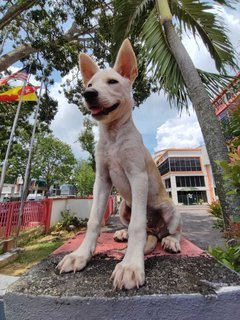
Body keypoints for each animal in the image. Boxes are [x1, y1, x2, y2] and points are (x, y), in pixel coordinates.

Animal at [58, 38, 182, 288]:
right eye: (90, 83)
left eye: (113, 82)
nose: (88, 93)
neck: (113, 134)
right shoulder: (102, 180)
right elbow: (94, 221)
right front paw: (80, 255)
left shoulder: (138, 176)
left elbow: (137, 226)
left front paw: (131, 266)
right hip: (125, 206)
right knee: (136, 225)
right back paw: (123, 234)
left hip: (170, 209)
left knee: (171, 231)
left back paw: (171, 241)